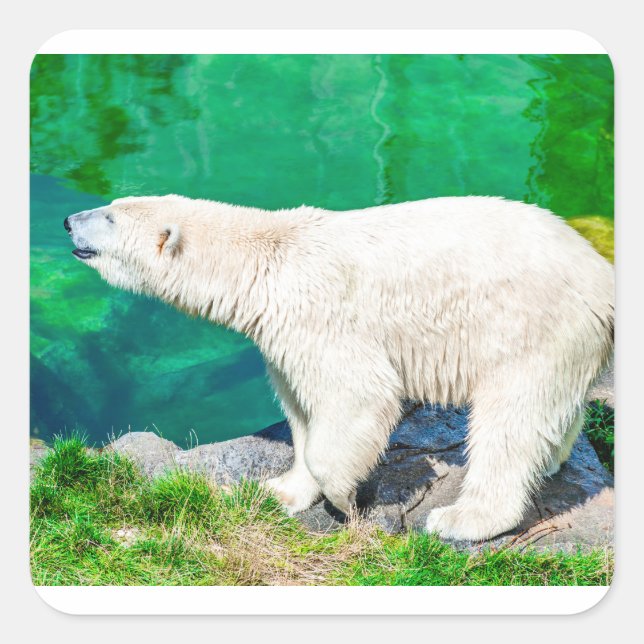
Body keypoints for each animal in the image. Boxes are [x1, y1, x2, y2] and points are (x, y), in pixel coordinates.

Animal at [64, 195, 614, 541]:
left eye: (110, 218)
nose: (69, 219)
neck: (267, 260)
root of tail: (601, 276)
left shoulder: (320, 312)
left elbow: (358, 394)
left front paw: (343, 499)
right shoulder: (282, 335)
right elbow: (303, 411)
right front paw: (282, 490)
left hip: (531, 327)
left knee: (509, 419)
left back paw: (463, 520)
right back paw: (550, 461)